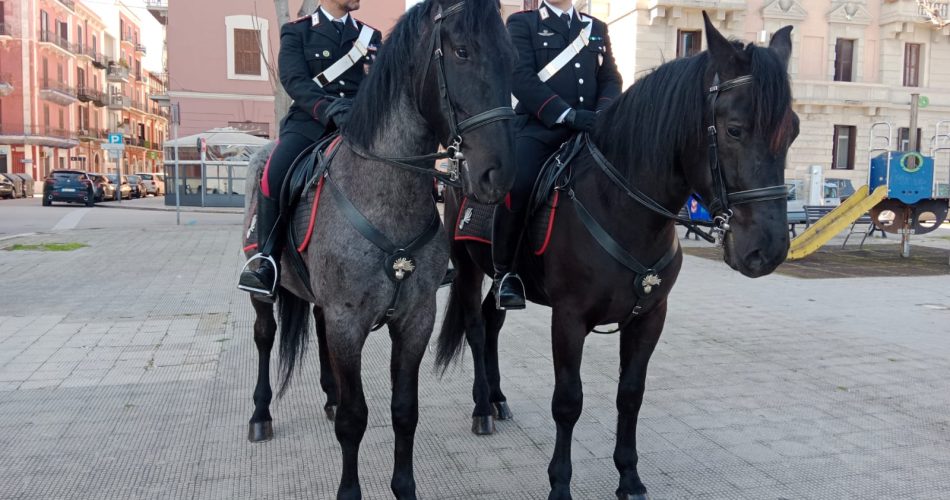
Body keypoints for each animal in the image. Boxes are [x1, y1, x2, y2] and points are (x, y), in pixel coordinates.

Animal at [243, 1, 516, 498]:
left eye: (512, 58)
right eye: (462, 51)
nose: (498, 174)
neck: (385, 194)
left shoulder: (414, 320)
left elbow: (404, 411)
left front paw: (404, 486)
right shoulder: (348, 320)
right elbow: (356, 419)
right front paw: (349, 490)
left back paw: (329, 396)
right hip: (263, 292)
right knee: (264, 337)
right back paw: (260, 414)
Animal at [435, 13, 799, 500]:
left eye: (793, 130)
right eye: (735, 128)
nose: (768, 250)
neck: (623, 205)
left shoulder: (650, 317)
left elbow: (630, 394)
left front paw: (629, 477)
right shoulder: (569, 318)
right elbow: (568, 401)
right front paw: (560, 483)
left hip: (502, 274)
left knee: (493, 324)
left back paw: (497, 399)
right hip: (469, 268)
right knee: (477, 331)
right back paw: (481, 409)